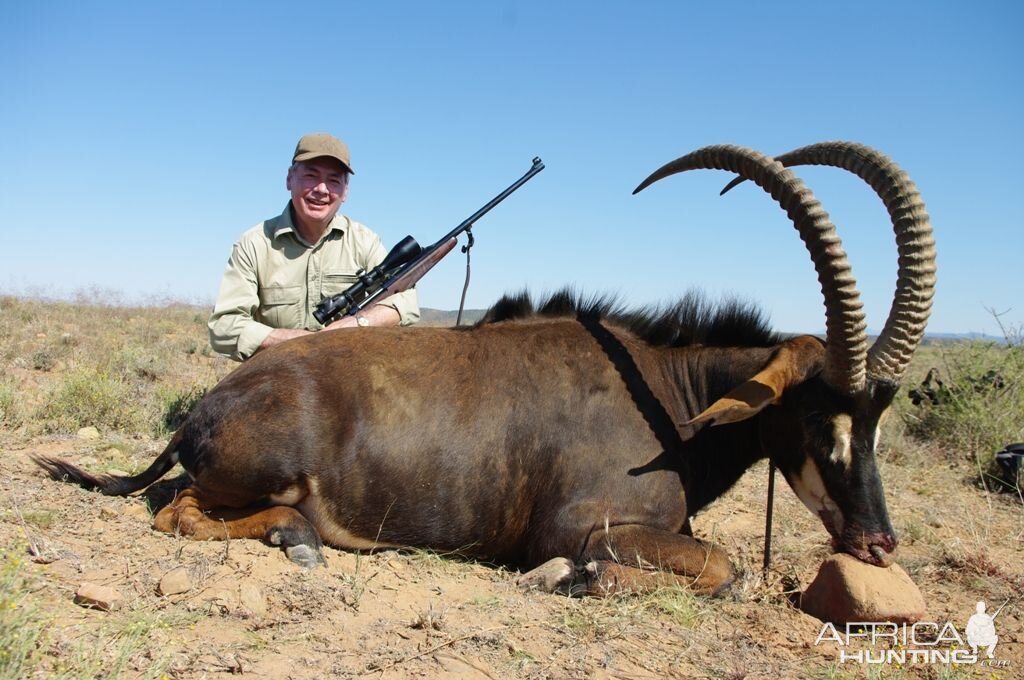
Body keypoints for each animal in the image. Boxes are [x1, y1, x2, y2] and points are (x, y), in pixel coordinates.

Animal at [36, 142, 937, 593]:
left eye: (880, 415)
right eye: (818, 413)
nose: (878, 544)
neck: (668, 399)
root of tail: (206, 407)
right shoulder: (586, 526)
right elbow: (727, 570)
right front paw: (566, 580)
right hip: (254, 473)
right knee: (176, 510)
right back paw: (299, 539)